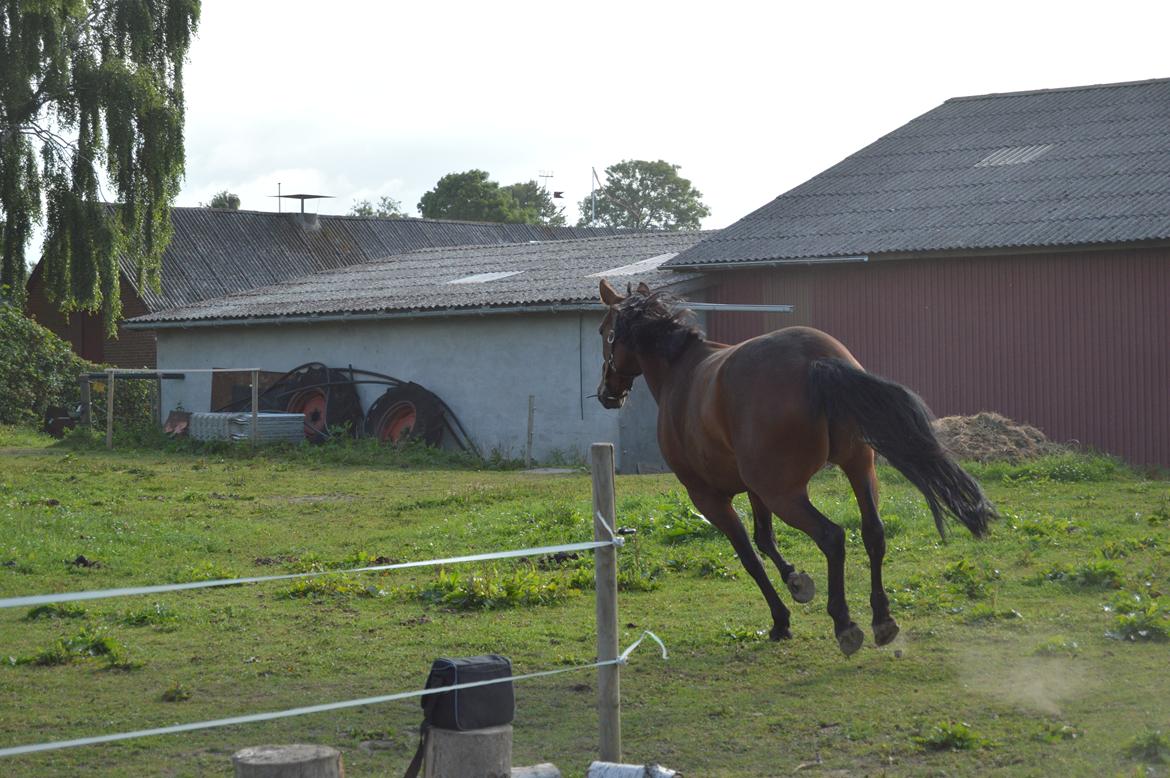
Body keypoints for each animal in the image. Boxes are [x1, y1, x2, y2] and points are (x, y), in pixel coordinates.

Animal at [599, 279, 992, 655]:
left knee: (832, 536)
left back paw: (845, 624)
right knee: (873, 532)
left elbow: (750, 556)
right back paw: (882, 619)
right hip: (857, 468)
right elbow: (765, 539)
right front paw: (797, 582)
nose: (607, 393)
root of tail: (815, 361)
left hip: (785, 494)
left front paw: (781, 619)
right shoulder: (754, 489)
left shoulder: (709, 498)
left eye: (605, 331)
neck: (681, 371)